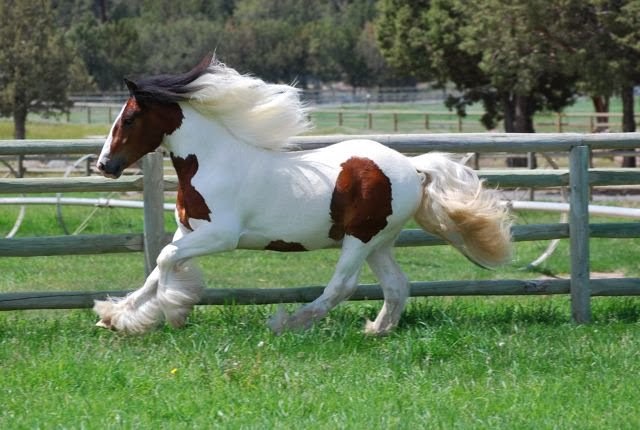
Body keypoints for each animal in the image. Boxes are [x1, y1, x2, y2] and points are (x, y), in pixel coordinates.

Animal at [94, 54, 512, 335]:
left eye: (129, 118)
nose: (105, 165)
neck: (211, 161)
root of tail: (413, 168)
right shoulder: (189, 230)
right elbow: (156, 267)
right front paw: (117, 316)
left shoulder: (221, 236)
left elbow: (164, 260)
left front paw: (173, 311)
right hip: (380, 241)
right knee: (397, 286)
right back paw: (376, 330)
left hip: (360, 238)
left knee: (342, 286)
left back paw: (285, 323)